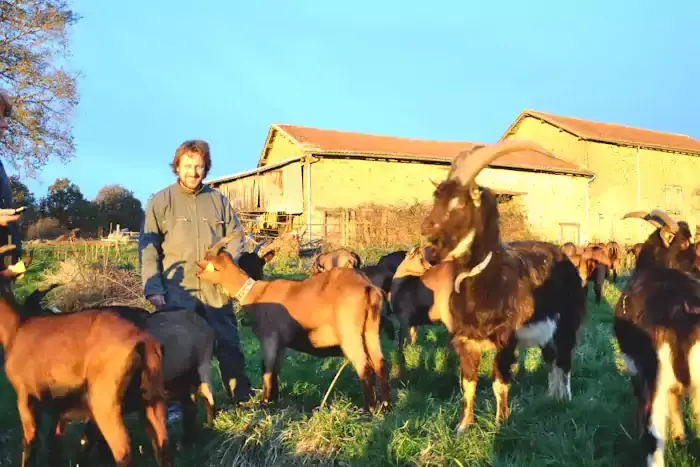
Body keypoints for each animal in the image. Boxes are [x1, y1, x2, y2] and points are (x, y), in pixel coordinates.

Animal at [194, 232, 392, 412]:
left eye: (208, 263)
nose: (196, 272)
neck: (256, 292)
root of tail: (367, 286)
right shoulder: (281, 343)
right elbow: (275, 370)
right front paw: (274, 399)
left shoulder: (269, 337)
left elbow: (266, 368)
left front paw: (264, 403)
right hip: (370, 330)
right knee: (380, 362)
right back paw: (386, 406)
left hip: (350, 333)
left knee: (363, 365)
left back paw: (369, 409)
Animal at [422, 141, 584, 434]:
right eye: (436, 197)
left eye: (459, 202)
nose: (425, 229)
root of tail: (565, 257)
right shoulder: (465, 340)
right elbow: (468, 384)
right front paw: (463, 426)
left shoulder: (506, 339)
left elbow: (499, 382)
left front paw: (501, 423)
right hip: (546, 333)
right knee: (551, 359)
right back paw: (550, 398)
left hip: (568, 321)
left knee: (564, 360)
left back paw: (564, 399)